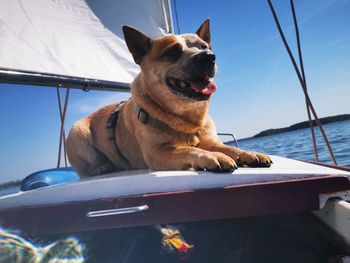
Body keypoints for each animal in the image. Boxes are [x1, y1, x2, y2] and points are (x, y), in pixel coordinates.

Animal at [67, 19, 272, 177]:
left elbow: (229, 148)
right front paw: (212, 156)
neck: (187, 118)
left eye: (204, 47)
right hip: (78, 131)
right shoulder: (157, 152)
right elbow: (190, 148)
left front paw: (247, 153)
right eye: (172, 52)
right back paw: (102, 167)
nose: (209, 56)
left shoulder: (211, 141)